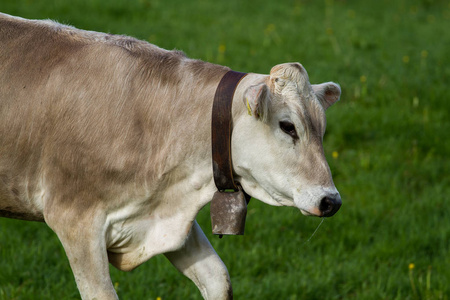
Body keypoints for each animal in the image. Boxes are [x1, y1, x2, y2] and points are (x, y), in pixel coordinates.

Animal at [0, 12, 342, 300]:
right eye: (288, 126)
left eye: (322, 130)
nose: (331, 201)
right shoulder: (74, 220)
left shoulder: (170, 216)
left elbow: (218, 278)